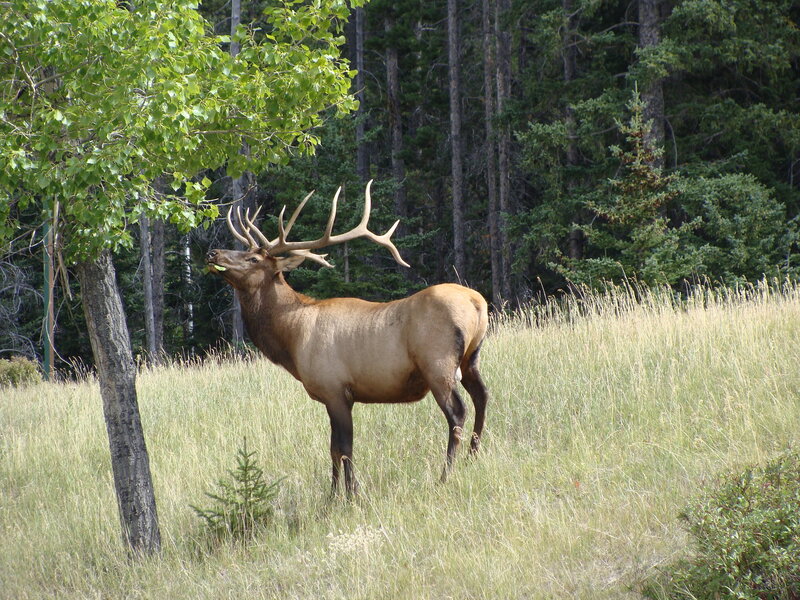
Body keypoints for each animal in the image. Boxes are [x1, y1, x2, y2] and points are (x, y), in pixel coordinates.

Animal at [205, 180, 489, 496]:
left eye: (253, 258)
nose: (213, 253)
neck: (291, 337)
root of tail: (478, 302)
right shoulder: (334, 396)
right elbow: (333, 449)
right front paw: (332, 495)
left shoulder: (335, 389)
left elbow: (344, 448)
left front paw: (351, 494)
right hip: (470, 358)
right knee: (482, 396)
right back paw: (473, 458)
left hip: (437, 363)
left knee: (457, 412)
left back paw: (446, 475)